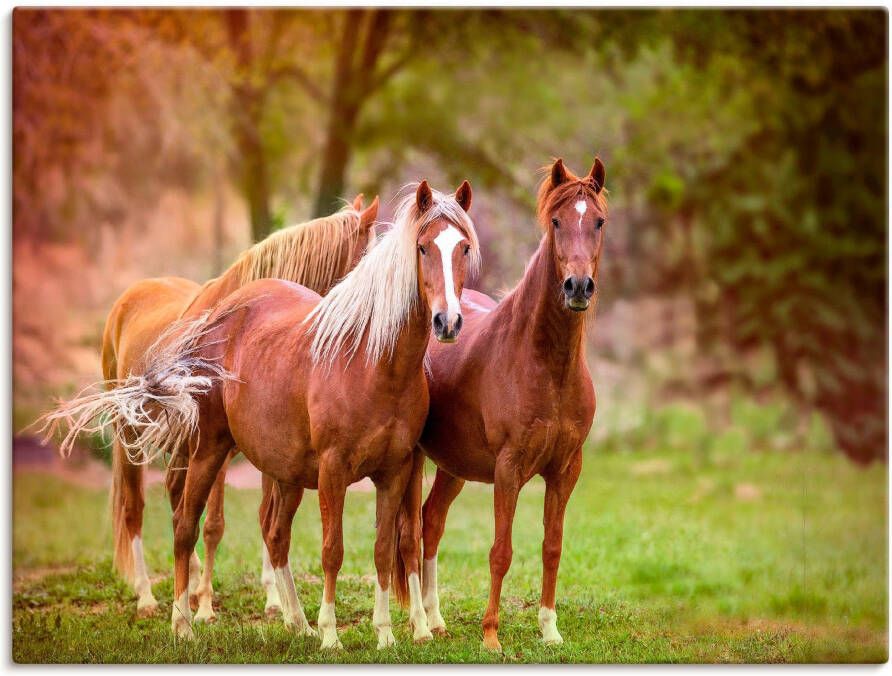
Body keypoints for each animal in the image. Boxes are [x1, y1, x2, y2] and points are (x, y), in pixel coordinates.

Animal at [38, 194, 378, 616]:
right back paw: (149, 595)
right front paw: (204, 606)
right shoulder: (217, 445)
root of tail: (129, 297)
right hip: (130, 433)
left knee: (175, 497)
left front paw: (273, 602)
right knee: (136, 508)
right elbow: (215, 524)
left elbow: (262, 519)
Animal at [400, 156, 608, 652]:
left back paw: (437, 620)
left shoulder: (566, 469)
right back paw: (420, 625)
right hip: (413, 461)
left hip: (454, 466)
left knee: (432, 521)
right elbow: (501, 551)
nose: (577, 286)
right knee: (410, 535)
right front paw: (491, 635)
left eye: (598, 221)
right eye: (556, 221)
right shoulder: (508, 469)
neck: (546, 366)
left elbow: (552, 547)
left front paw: (550, 629)